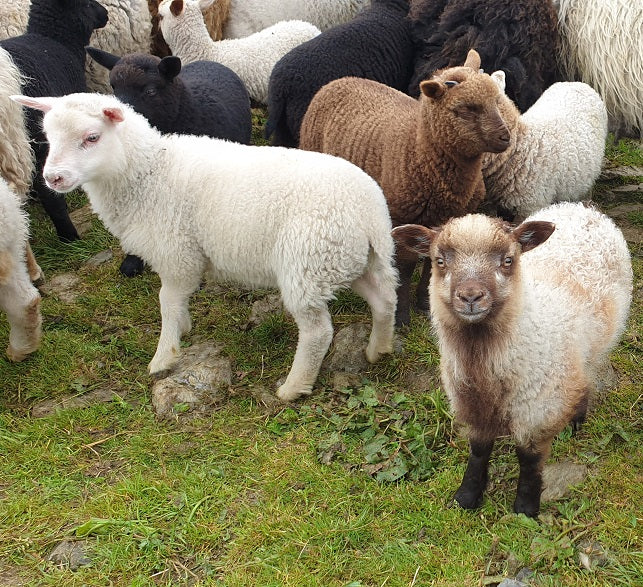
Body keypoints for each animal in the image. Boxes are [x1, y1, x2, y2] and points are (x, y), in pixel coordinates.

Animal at [13, 92, 398, 402]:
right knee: (384, 301)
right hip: (349, 260)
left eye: (91, 137)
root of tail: (369, 213)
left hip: (307, 265)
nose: (53, 178)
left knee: (318, 333)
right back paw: (378, 349)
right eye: (48, 138)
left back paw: (294, 387)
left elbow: (166, 302)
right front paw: (183, 327)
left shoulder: (177, 254)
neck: (147, 173)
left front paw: (164, 355)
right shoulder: (179, 258)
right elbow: (176, 301)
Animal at [299, 50, 510, 326]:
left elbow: (432, 262)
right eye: (466, 109)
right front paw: (400, 316)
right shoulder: (401, 218)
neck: (420, 149)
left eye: (497, 101)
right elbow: (406, 267)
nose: (506, 137)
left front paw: (425, 304)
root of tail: (337, 81)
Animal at [392, 202, 633, 516]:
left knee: (588, 374)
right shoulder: (471, 406)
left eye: (508, 260)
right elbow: (478, 452)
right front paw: (467, 497)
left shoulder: (537, 411)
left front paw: (525, 508)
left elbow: (529, 461)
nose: (471, 297)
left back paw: (576, 419)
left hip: (598, 345)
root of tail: (582, 208)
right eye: (439, 260)